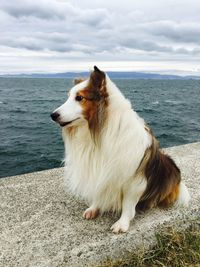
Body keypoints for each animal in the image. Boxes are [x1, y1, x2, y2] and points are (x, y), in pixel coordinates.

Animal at [50, 66, 190, 234]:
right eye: (69, 97)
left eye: (79, 98)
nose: (52, 115)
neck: (99, 132)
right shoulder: (99, 172)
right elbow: (98, 192)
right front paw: (94, 208)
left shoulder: (134, 179)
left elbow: (128, 204)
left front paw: (122, 223)